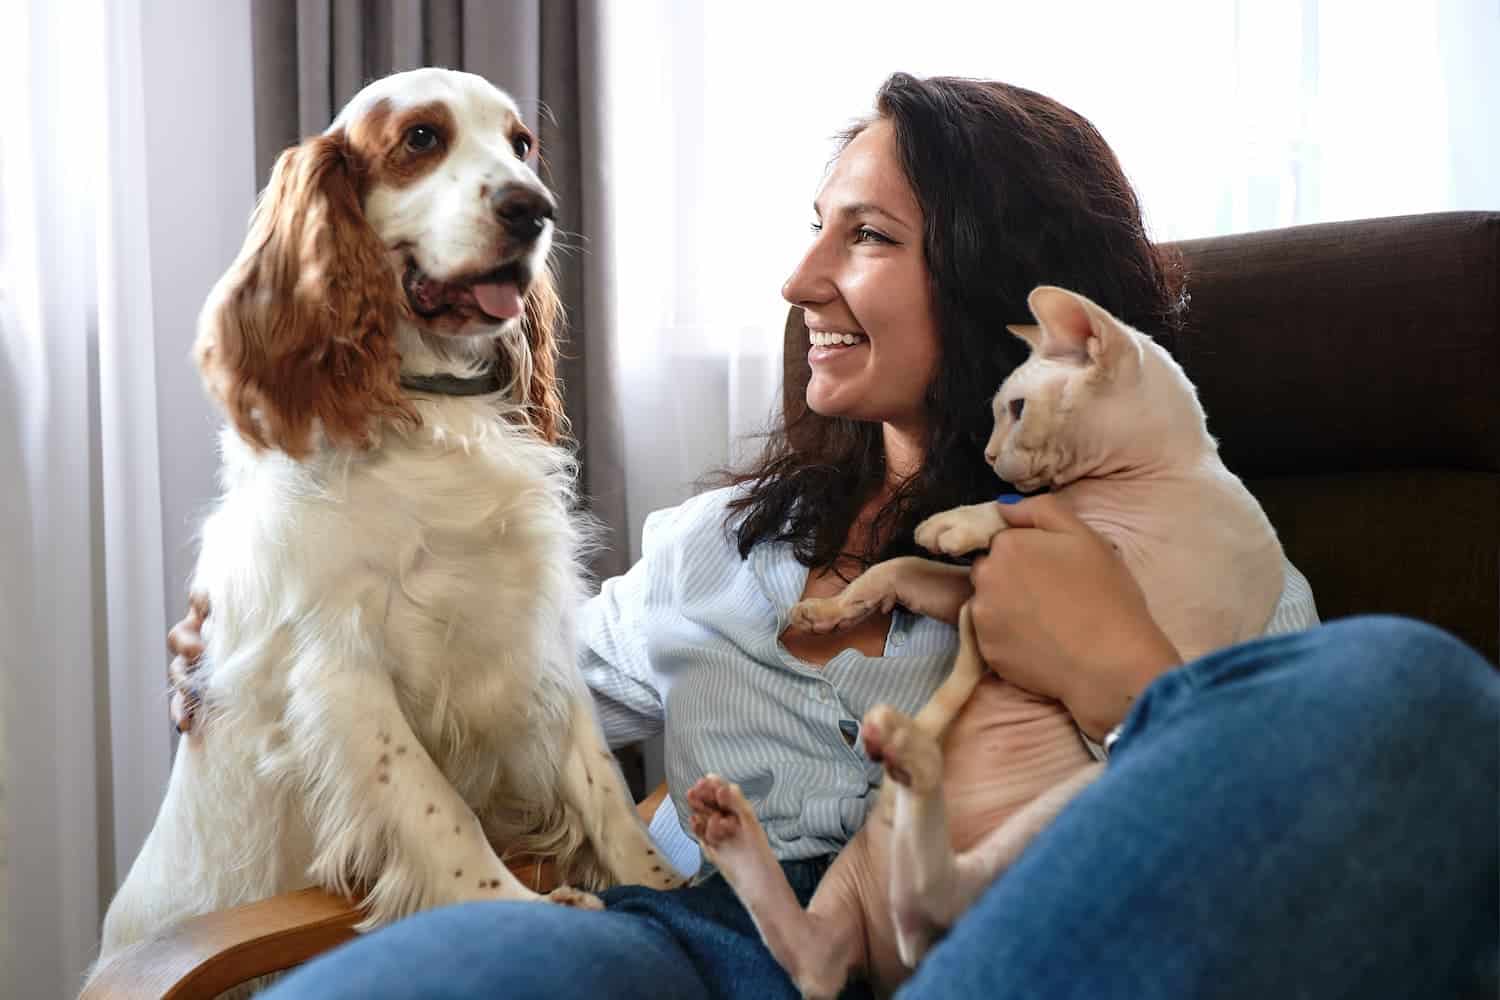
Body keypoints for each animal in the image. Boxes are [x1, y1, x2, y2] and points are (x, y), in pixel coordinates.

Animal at [90, 70, 678, 983]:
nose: (534, 208)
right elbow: (439, 812)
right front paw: (518, 908)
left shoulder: (533, 635)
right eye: (421, 139)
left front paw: (670, 885)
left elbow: (603, 788)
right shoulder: (340, 669)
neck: (429, 413)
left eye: (521, 144)